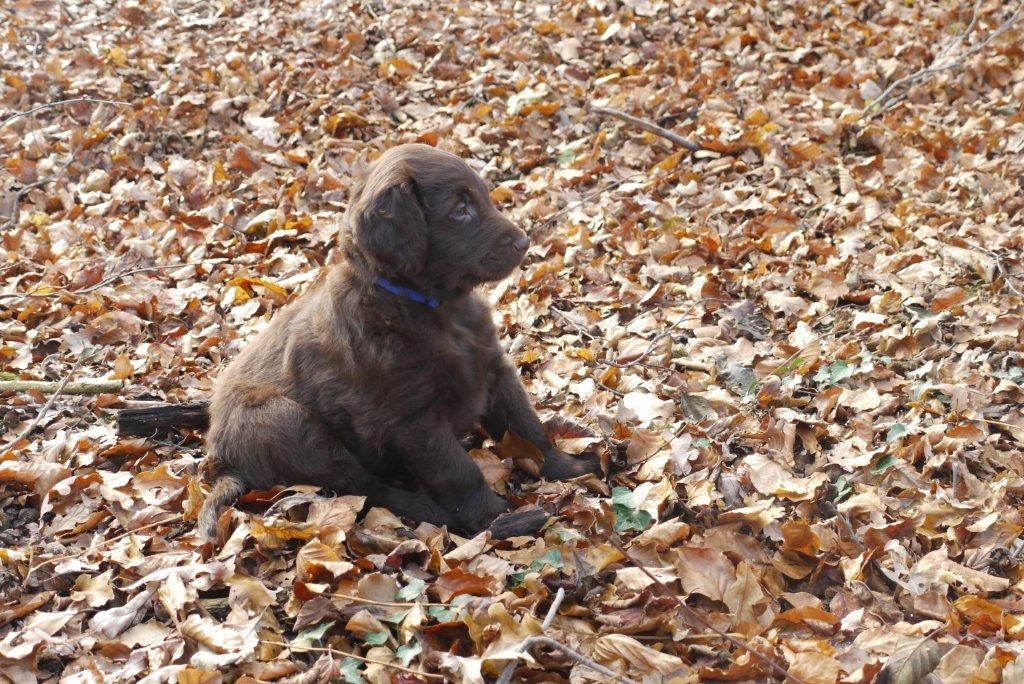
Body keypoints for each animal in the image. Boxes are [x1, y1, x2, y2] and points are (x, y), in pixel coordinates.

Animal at [198, 144, 599, 539]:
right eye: (460, 210)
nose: (524, 243)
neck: (433, 309)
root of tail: (222, 463)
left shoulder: (494, 371)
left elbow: (527, 426)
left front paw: (571, 466)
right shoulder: (412, 420)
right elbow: (459, 473)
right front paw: (493, 519)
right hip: (284, 420)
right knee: (365, 487)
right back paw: (453, 515)